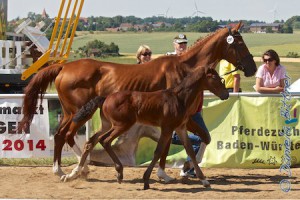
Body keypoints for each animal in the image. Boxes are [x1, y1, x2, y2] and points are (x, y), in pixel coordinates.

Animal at [18, 22, 255, 180]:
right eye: (239, 42)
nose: (252, 68)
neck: (184, 69)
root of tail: (64, 67)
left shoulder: (183, 118)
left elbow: (202, 138)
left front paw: (181, 169)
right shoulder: (173, 119)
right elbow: (172, 144)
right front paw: (167, 172)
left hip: (75, 112)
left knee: (67, 136)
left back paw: (77, 169)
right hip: (76, 111)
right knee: (64, 135)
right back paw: (67, 170)